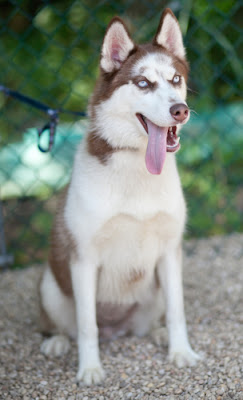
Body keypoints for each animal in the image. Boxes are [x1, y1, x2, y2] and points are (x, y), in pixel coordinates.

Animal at [39, 7, 199, 384]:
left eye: (175, 79)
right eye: (142, 83)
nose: (180, 109)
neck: (136, 168)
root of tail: (118, 329)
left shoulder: (170, 252)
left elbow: (178, 311)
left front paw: (180, 351)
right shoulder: (83, 260)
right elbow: (87, 327)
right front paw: (90, 369)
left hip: (153, 290)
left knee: (153, 319)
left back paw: (158, 333)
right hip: (50, 286)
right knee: (64, 326)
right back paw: (56, 341)